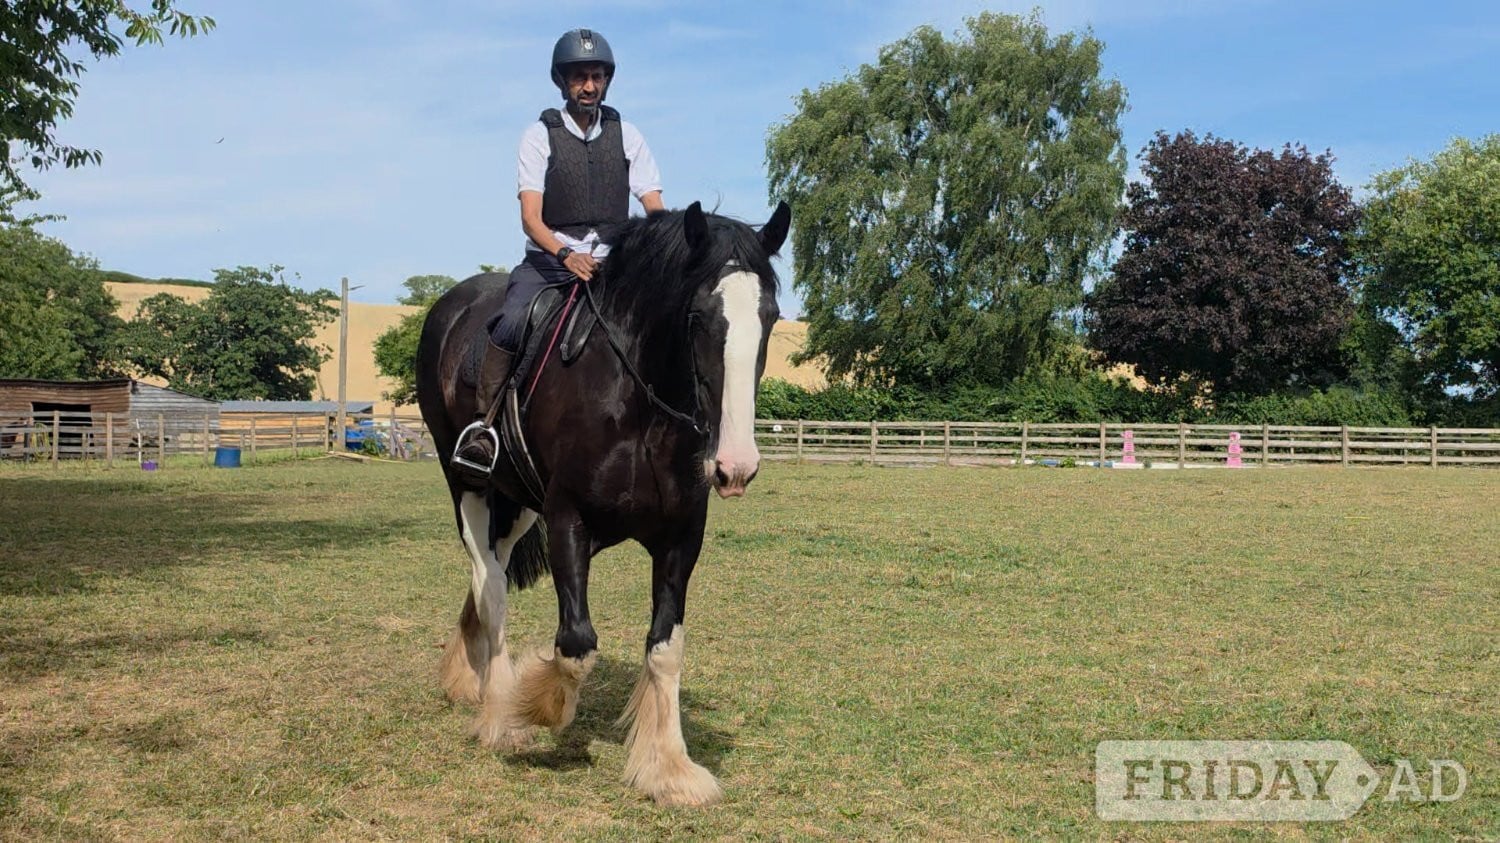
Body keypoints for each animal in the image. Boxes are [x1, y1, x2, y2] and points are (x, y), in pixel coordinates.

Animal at [415, 200, 790, 806]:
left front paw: (669, 767)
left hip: (517, 503)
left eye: (771, 317)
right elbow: (576, 644)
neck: (639, 409)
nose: (735, 466)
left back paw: (468, 677)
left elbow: (665, 647)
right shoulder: (569, 520)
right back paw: (497, 711)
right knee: (491, 587)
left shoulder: (681, 537)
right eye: (697, 316)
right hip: (469, 484)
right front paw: (532, 706)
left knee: (487, 576)